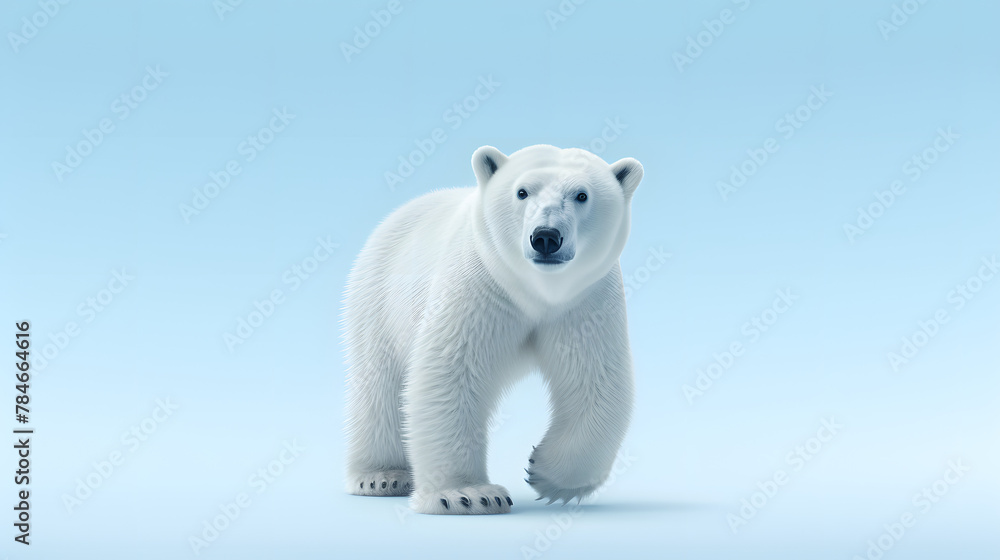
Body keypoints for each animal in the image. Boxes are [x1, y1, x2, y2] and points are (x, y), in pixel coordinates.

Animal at [343, 144, 643, 514]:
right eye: (522, 191)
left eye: (582, 195)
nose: (546, 237)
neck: (537, 292)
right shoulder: (478, 283)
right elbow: (449, 374)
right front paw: (468, 494)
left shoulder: (585, 301)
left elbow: (596, 379)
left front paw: (550, 475)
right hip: (378, 300)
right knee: (380, 386)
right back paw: (382, 476)